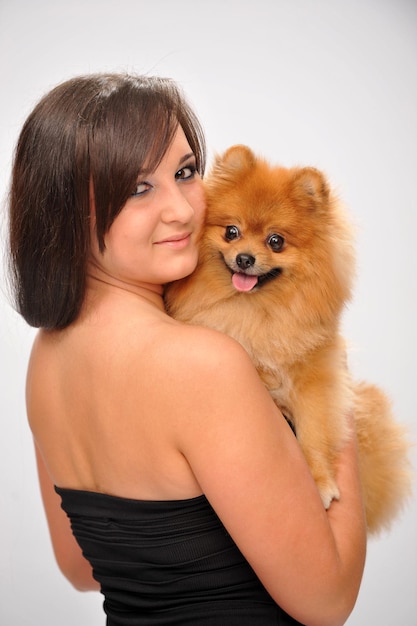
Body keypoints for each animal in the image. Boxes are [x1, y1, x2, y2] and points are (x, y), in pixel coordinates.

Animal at [164, 145, 412, 532]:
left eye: (276, 241)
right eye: (231, 232)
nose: (244, 258)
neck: (258, 312)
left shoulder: (317, 379)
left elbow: (315, 430)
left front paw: (320, 481)